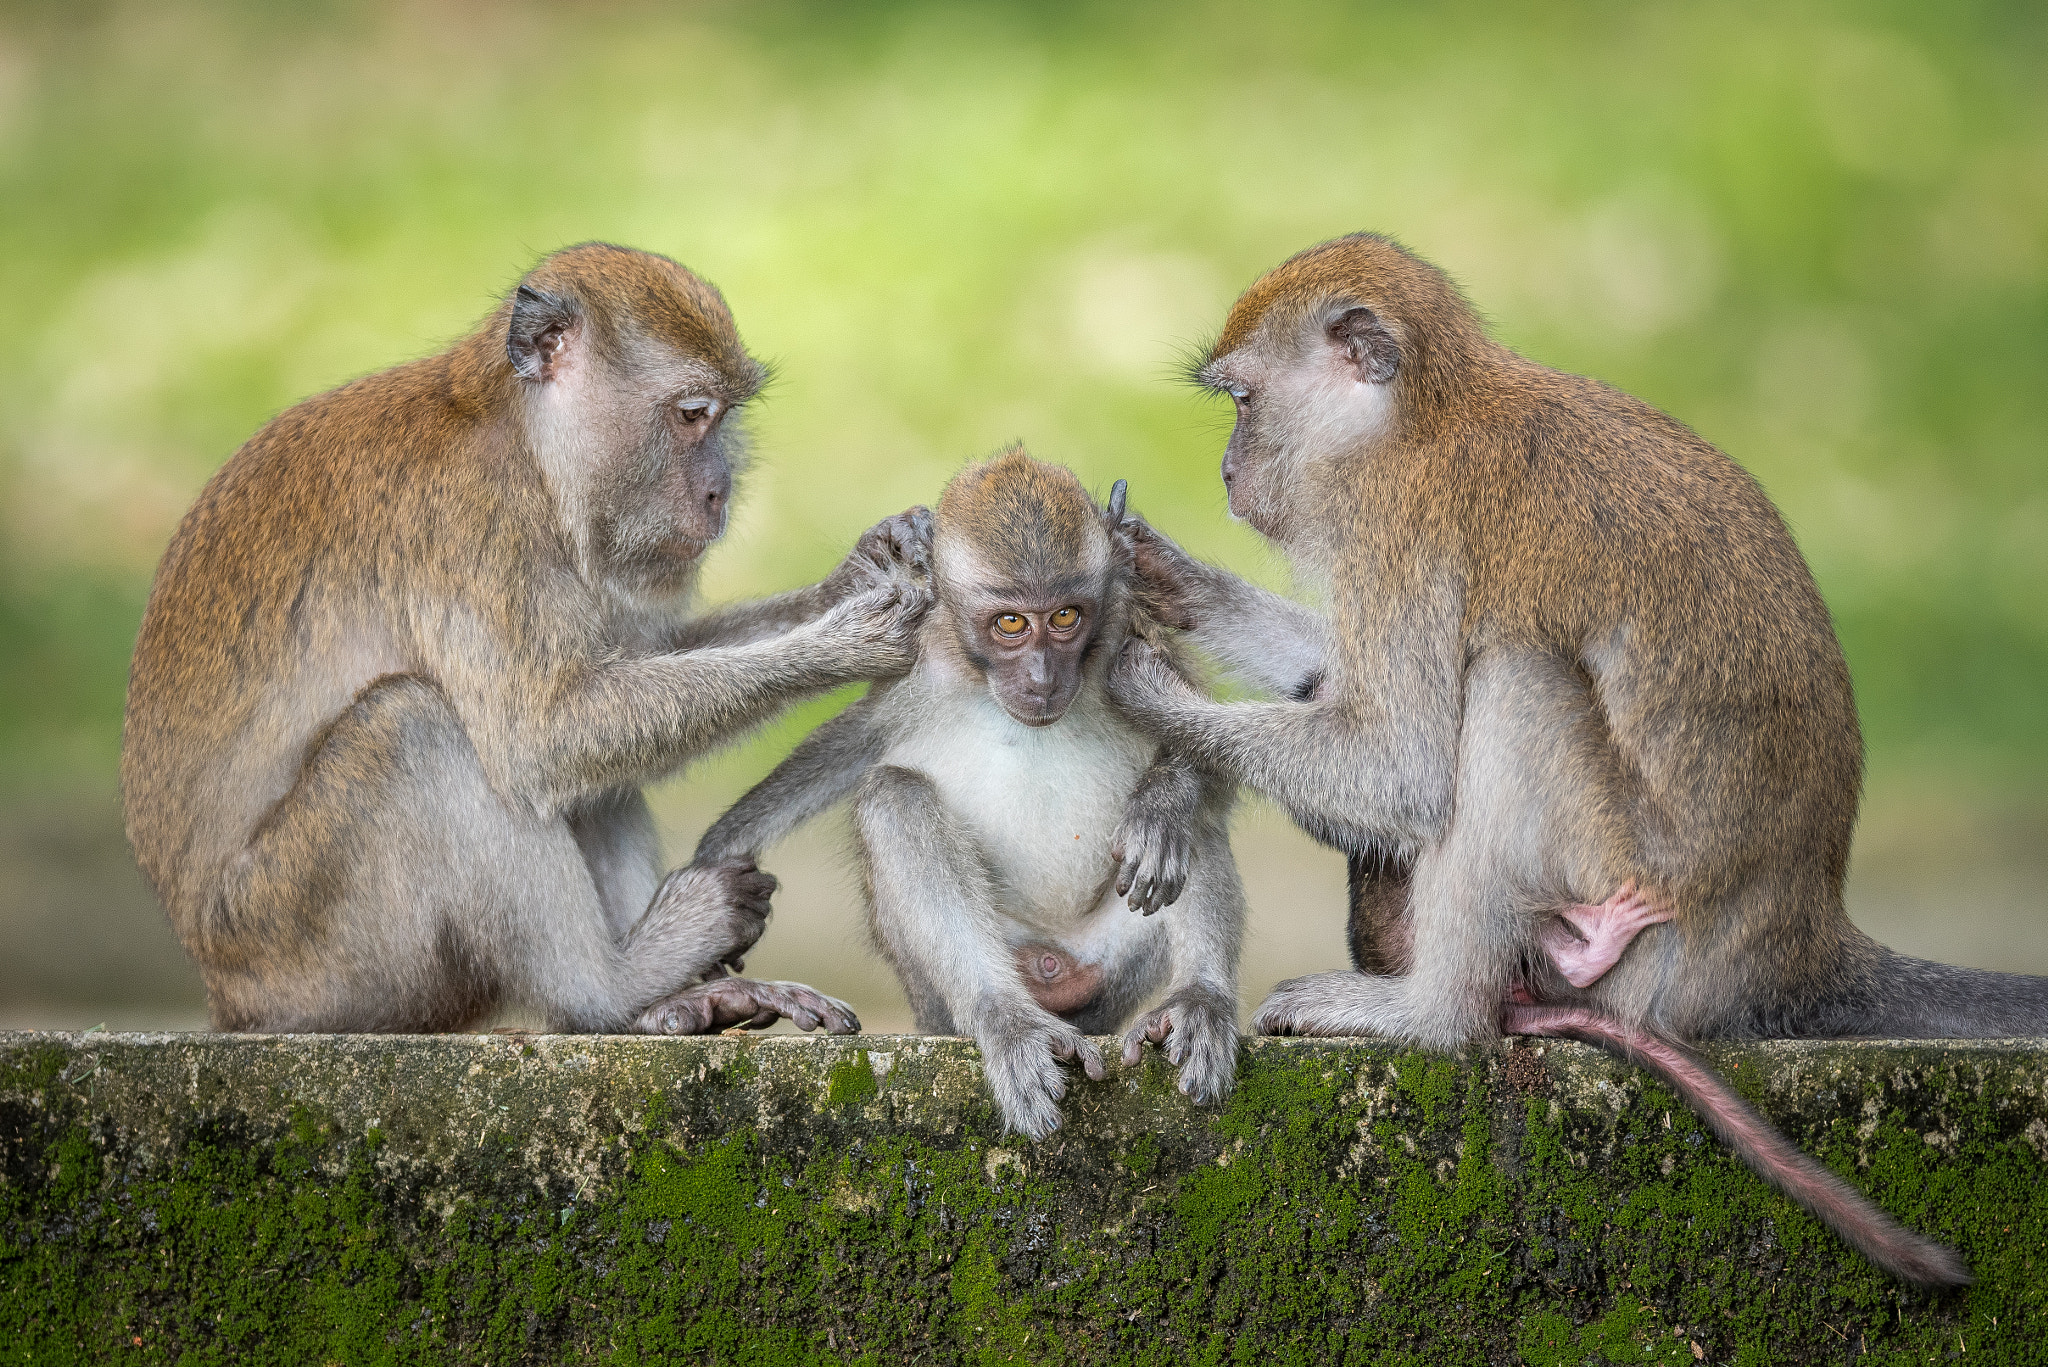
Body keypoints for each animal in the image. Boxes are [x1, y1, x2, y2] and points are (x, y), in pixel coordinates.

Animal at [121, 242, 936, 1038]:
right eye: (692, 414)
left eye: (723, 416)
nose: (720, 492)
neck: (522, 441)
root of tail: (229, 995)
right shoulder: (475, 527)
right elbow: (540, 735)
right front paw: (844, 641)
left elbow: (610, 684)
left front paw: (855, 576)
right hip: (307, 944)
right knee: (416, 724)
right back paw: (610, 991)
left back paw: (676, 998)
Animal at [693, 450, 1245, 1138]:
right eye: (1010, 622)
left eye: (1066, 617)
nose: (1041, 678)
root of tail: (1053, 967)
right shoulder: (915, 655)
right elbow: (848, 751)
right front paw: (717, 859)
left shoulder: (1127, 632)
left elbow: (1214, 759)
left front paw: (1164, 803)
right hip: (941, 994)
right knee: (894, 795)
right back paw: (1005, 1017)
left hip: (1105, 976)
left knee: (1193, 827)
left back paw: (1199, 996)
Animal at [1102, 232, 2048, 1285]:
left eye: (1242, 401)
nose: (1229, 472)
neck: (1422, 418)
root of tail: (1800, 939)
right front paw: (1165, 579)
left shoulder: (1400, 531)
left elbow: (1401, 767)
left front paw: (1149, 695)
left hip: (1640, 910)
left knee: (1510, 682)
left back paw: (1433, 1014)